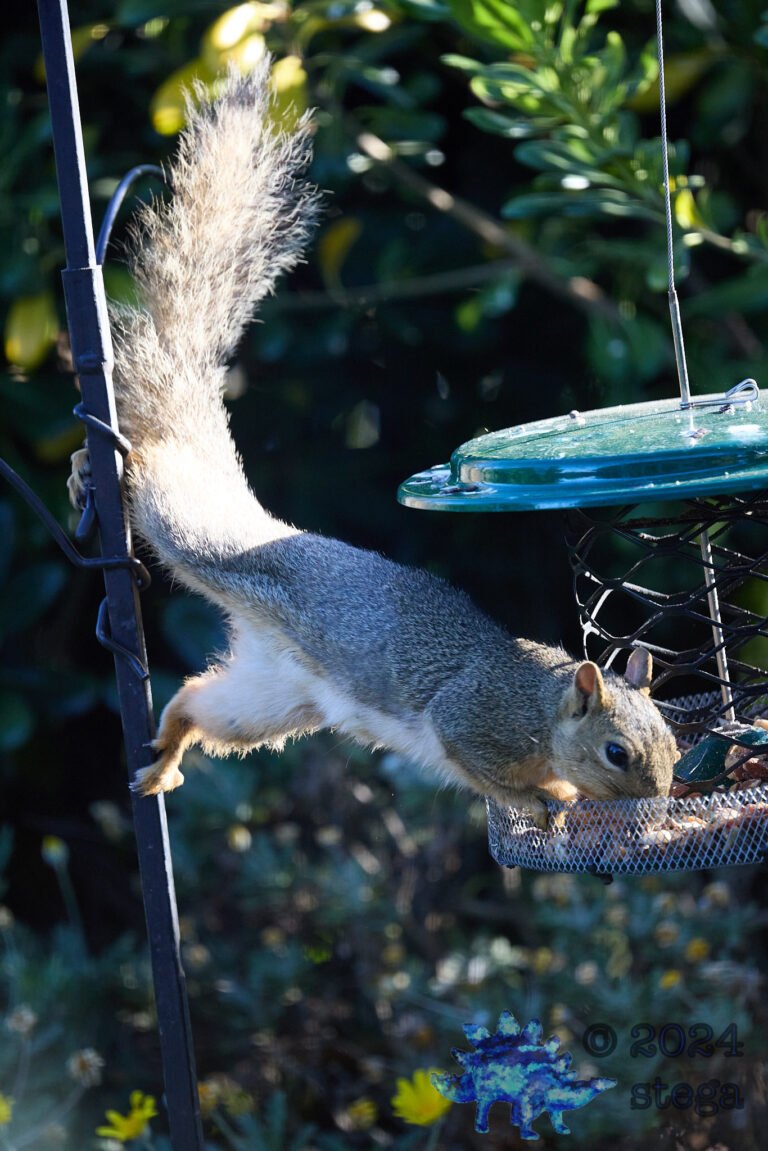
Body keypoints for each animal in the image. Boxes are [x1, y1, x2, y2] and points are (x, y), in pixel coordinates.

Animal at [68, 61, 679, 826]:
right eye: (616, 752)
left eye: (674, 743)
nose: (662, 798)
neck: (538, 704)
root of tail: (255, 524)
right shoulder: (470, 720)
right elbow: (485, 769)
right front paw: (546, 798)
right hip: (190, 530)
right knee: (157, 481)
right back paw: (99, 468)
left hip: (269, 700)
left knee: (197, 700)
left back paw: (167, 756)